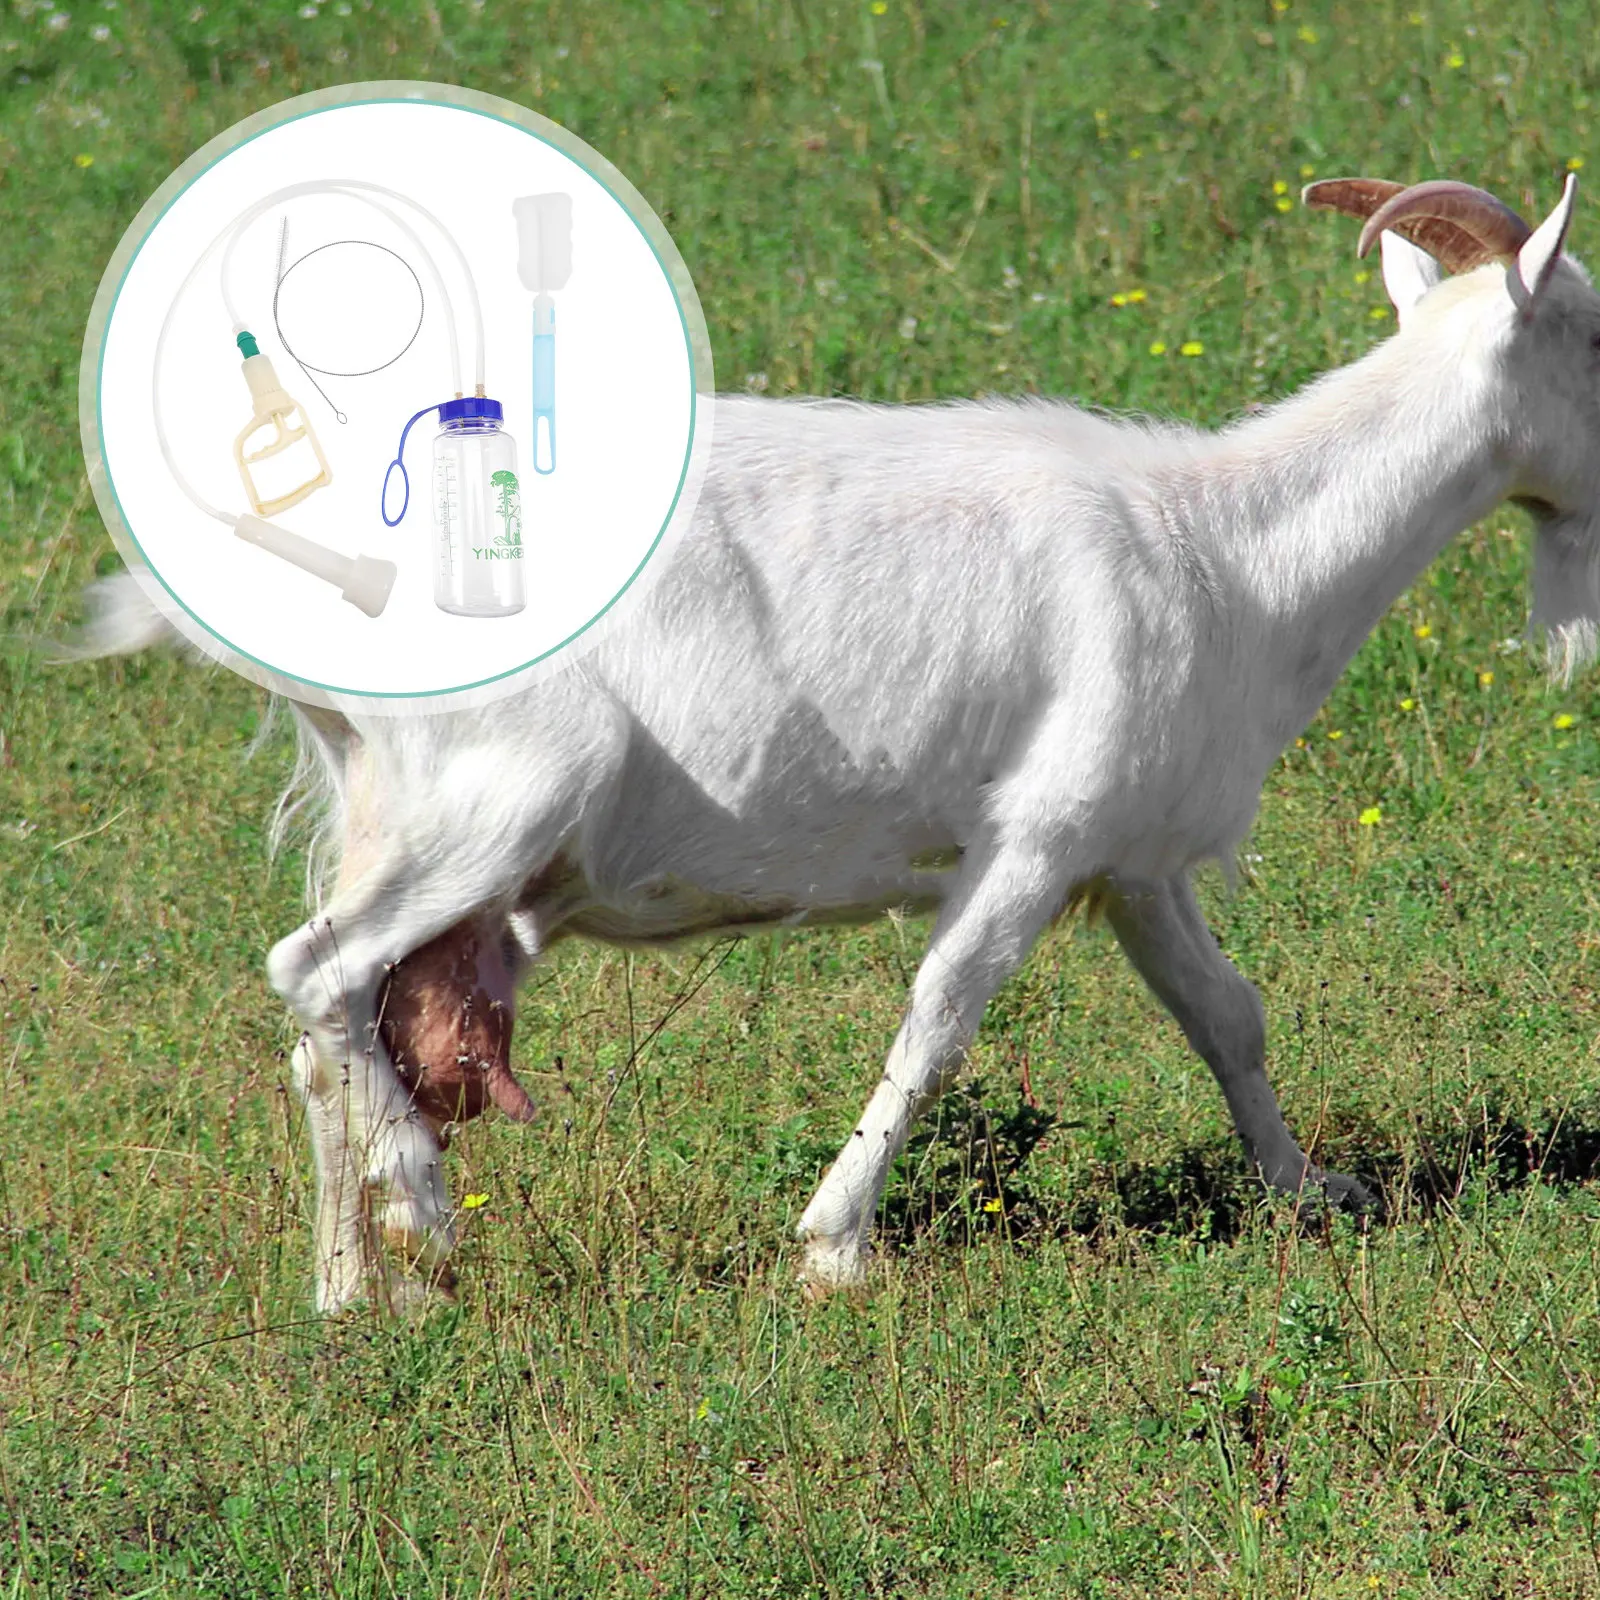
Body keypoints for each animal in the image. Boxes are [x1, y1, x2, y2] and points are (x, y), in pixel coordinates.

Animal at [82, 174, 1600, 1314]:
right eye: (1593, 333)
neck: (1225, 550)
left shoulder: (1129, 850)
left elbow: (1227, 1014)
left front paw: (1309, 1190)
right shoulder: (1034, 834)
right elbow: (938, 1018)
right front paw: (834, 1248)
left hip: (387, 809)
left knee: (327, 1035)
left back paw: (355, 1292)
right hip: (490, 800)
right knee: (317, 973)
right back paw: (425, 1212)